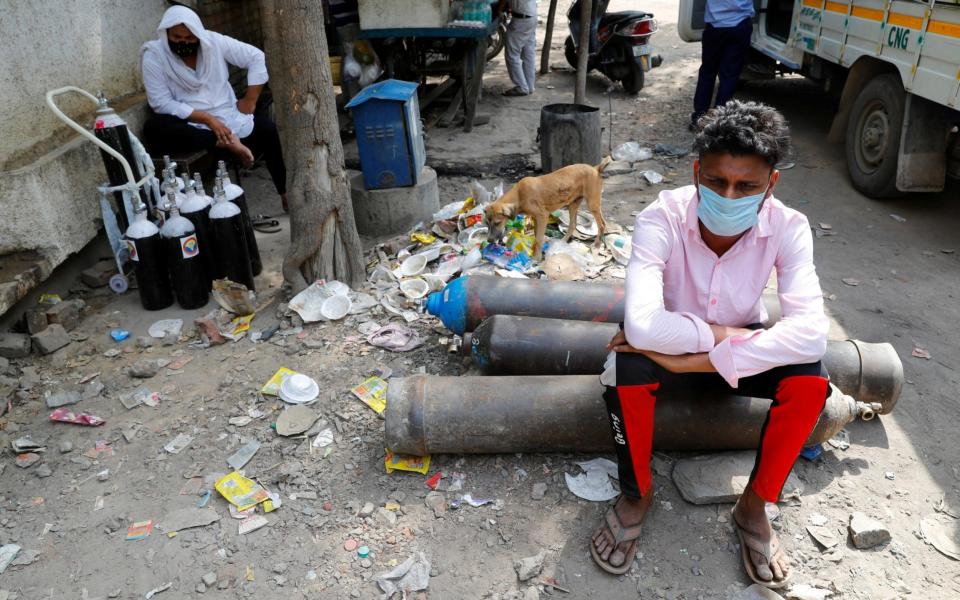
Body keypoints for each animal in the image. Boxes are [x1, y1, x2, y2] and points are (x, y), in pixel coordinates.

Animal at [484, 156, 612, 258]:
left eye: (497, 223)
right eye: (487, 223)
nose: (489, 240)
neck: (519, 195)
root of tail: (595, 168)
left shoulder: (542, 216)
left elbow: (539, 239)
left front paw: (536, 258)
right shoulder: (536, 218)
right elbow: (536, 237)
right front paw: (535, 253)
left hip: (592, 203)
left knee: (602, 224)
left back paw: (596, 245)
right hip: (573, 204)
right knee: (573, 225)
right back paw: (562, 243)